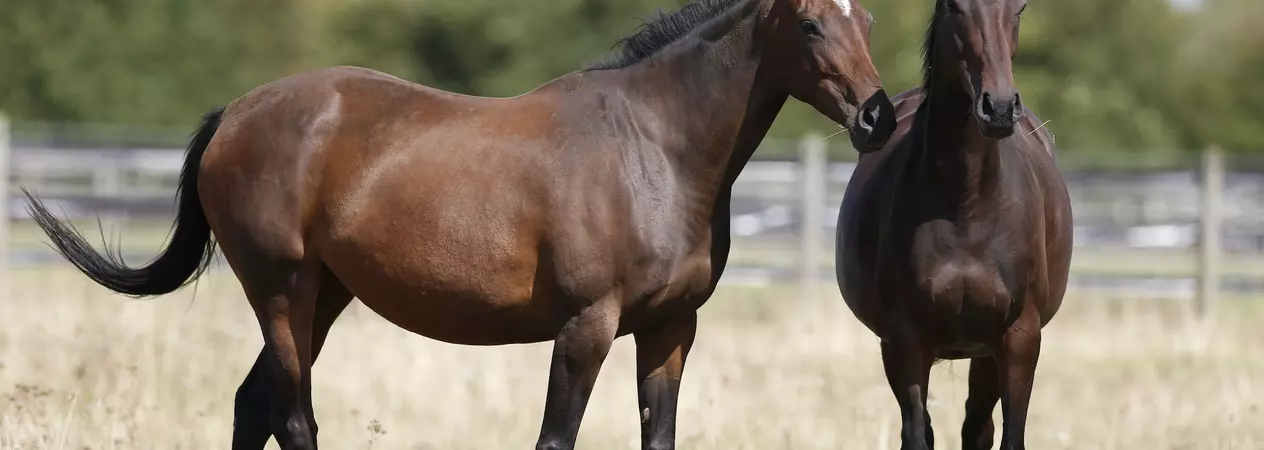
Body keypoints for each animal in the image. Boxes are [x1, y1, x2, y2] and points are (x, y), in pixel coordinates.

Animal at [24, 0, 896, 448]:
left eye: (868, 20)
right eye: (812, 22)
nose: (877, 117)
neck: (652, 147)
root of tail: (235, 113)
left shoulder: (670, 329)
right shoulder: (585, 327)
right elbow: (555, 439)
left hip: (323, 297)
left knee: (254, 405)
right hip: (280, 291)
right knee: (293, 416)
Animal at [834, 0, 1072, 449]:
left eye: (1020, 8)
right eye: (954, 7)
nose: (999, 108)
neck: (968, 206)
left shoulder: (1019, 338)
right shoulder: (905, 342)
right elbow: (916, 431)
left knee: (977, 426)